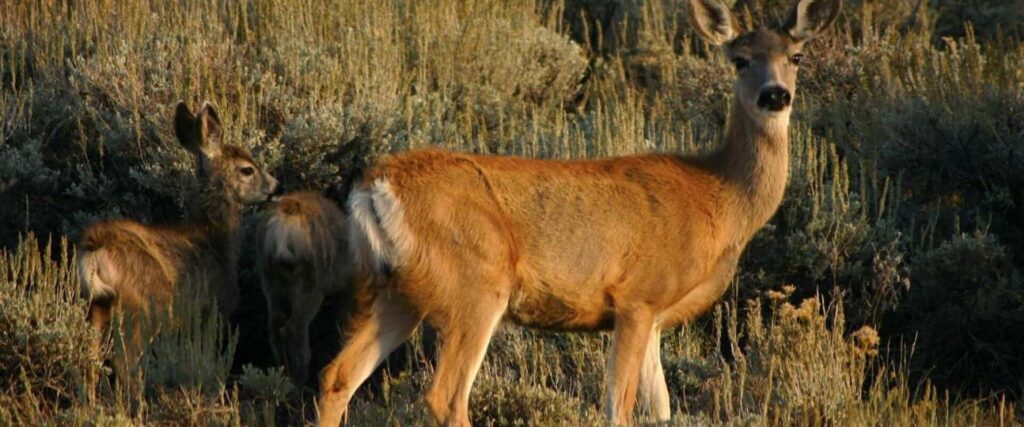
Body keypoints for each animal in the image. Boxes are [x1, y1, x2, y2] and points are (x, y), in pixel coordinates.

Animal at [79, 101, 280, 344]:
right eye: (247, 169)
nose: (276, 186)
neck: (213, 240)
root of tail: (94, 251)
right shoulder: (211, 311)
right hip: (142, 308)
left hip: (98, 306)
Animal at [257, 191, 352, 386]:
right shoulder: (346, 287)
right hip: (311, 283)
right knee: (294, 327)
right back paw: (301, 380)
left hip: (270, 280)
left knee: (275, 328)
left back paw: (284, 376)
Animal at [317, 0, 841, 425]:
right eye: (740, 60)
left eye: (796, 57)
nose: (775, 95)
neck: (718, 196)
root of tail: (374, 184)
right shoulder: (637, 297)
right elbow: (618, 409)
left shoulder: (654, 317)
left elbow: (663, 409)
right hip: (475, 282)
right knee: (445, 397)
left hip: (398, 290)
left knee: (336, 375)